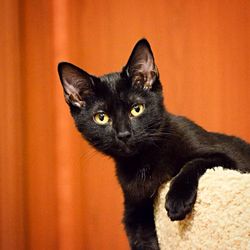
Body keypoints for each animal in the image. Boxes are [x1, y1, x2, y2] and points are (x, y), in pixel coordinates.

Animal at [57, 39, 250, 250]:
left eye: (137, 109)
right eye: (101, 117)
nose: (124, 134)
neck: (145, 161)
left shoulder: (229, 158)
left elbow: (194, 163)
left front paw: (177, 201)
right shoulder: (134, 207)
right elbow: (141, 238)